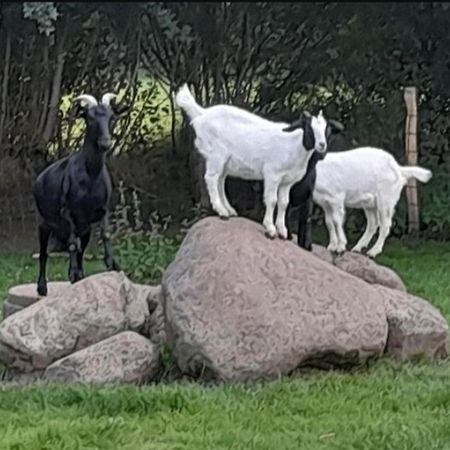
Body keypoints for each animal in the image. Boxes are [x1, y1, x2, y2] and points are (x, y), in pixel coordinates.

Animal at [174, 84, 342, 239]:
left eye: (327, 130)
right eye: (309, 128)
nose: (322, 145)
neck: (294, 146)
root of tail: (202, 113)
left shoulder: (287, 181)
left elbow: (284, 203)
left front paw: (282, 231)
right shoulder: (272, 174)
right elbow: (272, 200)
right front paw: (270, 229)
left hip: (225, 162)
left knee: (220, 180)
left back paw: (229, 210)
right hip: (216, 155)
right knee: (210, 178)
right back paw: (221, 211)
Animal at [284, 117, 344, 250]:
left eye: (328, 134)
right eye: (310, 132)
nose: (321, 151)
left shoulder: (309, 196)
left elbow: (307, 217)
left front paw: (306, 244)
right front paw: (287, 234)